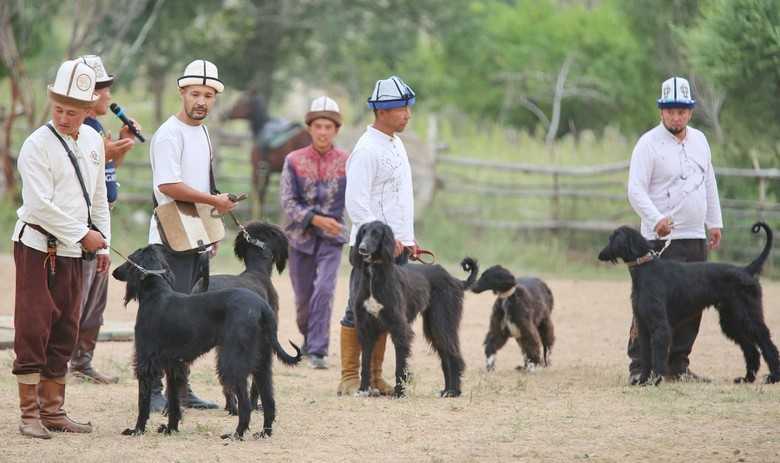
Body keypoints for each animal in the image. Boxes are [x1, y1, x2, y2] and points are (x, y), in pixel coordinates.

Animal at [112, 245, 302, 440]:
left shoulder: (145, 362)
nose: (114, 272)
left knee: (246, 404)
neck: (156, 294)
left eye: (129, 259)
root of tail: (262, 307)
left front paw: (137, 430)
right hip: (262, 364)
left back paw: (236, 434)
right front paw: (170, 428)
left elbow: (143, 402)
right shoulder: (174, 365)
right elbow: (173, 401)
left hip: (232, 362)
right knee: (269, 400)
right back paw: (264, 433)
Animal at [352, 222, 476, 398]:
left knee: (453, 355)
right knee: (445, 355)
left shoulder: (399, 327)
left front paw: (399, 392)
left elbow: (400, 365)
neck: (374, 275)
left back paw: (454, 391)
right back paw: (447, 390)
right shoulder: (366, 327)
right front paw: (363, 390)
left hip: (442, 321)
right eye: (363, 232)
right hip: (433, 325)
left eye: (376, 233)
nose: (362, 248)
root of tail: (454, 279)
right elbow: (365, 362)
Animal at [600, 223, 776, 386]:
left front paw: (655, 380)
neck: (645, 268)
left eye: (612, 239)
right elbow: (645, 356)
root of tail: (746, 270)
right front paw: (643, 380)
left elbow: (658, 356)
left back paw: (773, 377)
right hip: (732, 320)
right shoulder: (643, 325)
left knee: (766, 341)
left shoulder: (660, 326)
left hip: (748, 316)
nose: (600, 255)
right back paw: (747, 378)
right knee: (751, 349)